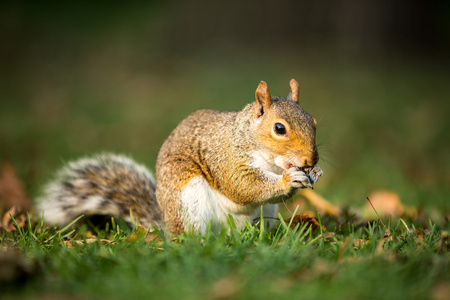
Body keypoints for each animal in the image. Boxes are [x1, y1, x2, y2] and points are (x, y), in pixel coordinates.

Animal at [37, 79, 322, 234]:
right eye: (279, 128)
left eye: (314, 121)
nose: (310, 161)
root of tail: (165, 224)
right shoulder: (225, 157)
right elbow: (243, 185)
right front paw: (288, 180)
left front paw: (314, 174)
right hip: (187, 197)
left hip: (265, 213)